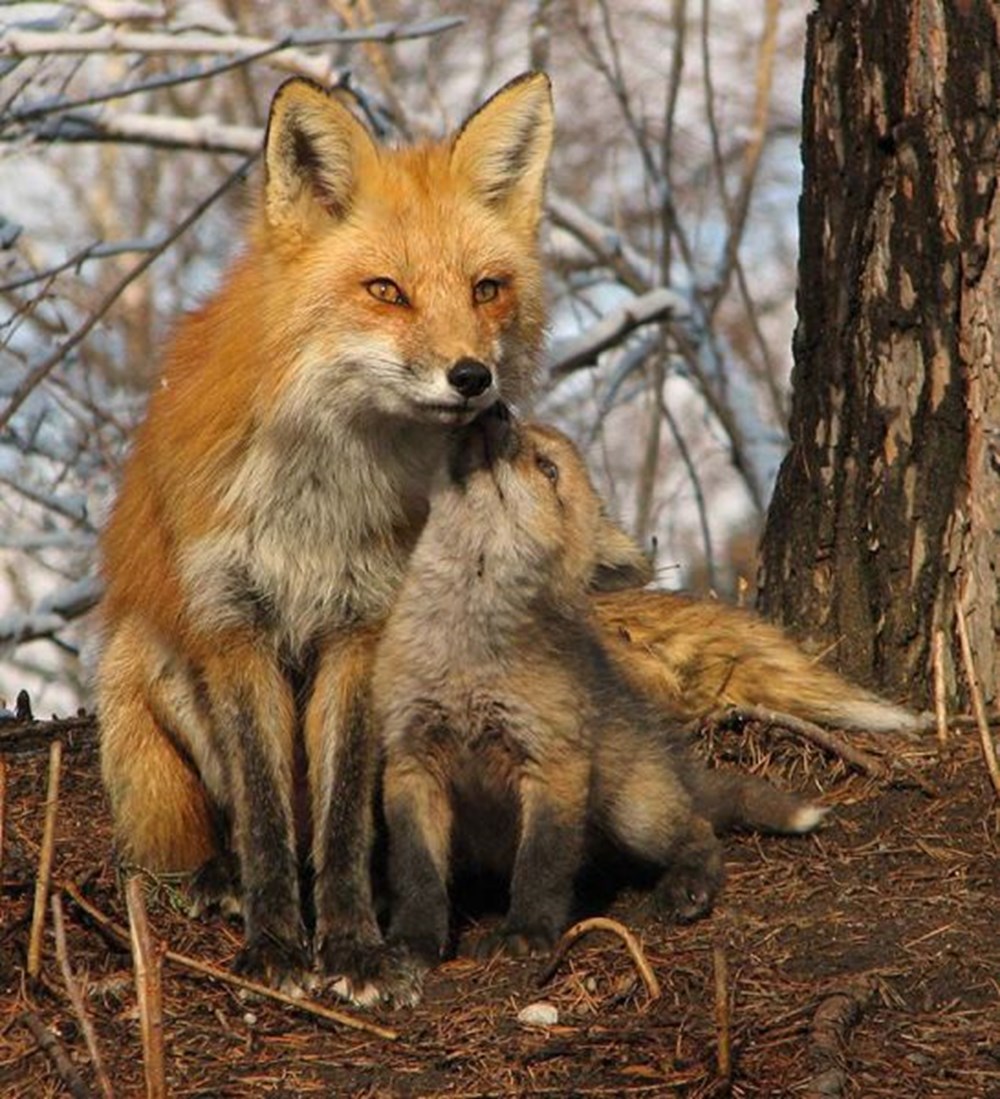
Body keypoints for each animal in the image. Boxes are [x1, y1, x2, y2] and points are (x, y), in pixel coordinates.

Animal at [97, 66, 918, 997]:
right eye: (386, 291)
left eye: (486, 288)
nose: (473, 378)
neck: (323, 497)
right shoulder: (233, 625)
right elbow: (270, 820)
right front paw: (275, 943)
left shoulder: (362, 628)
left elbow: (340, 822)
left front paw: (353, 946)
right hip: (146, 668)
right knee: (202, 821)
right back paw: (215, 876)